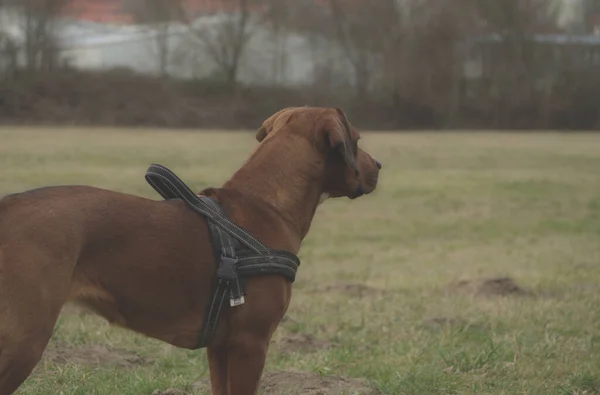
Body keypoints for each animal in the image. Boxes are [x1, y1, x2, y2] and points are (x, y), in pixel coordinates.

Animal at [0, 106, 380, 394]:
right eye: (357, 140)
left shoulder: (220, 347)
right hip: (23, 341)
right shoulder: (250, 344)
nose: (378, 166)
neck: (266, 206)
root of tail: (7, 206)